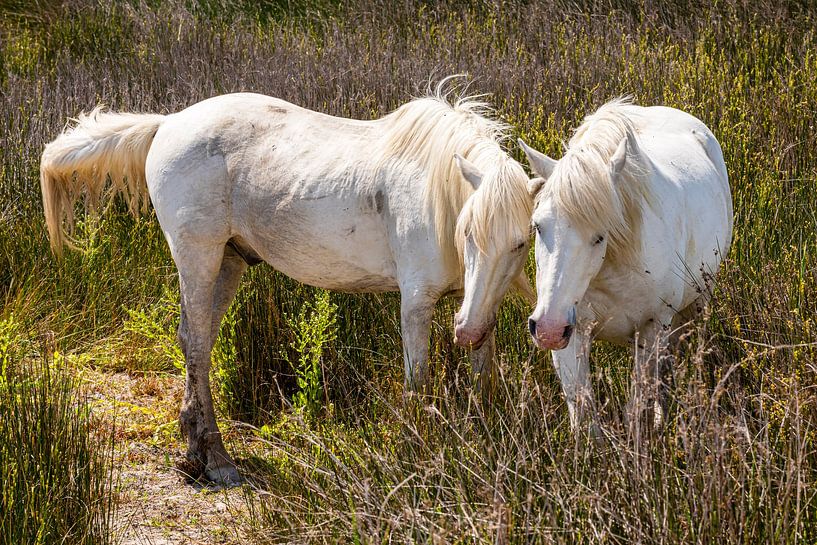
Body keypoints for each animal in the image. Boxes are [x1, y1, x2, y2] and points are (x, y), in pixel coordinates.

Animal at [40, 83, 534, 483]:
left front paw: (485, 444)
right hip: (198, 255)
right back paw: (217, 459)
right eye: (467, 232)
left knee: (196, 341)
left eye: (523, 242)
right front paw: (418, 458)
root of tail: (170, 123)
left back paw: (195, 447)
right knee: (196, 344)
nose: (465, 330)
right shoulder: (416, 303)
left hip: (229, 262)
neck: (437, 192)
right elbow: (419, 383)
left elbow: (483, 376)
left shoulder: (476, 305)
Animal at [519, 98, 732, 432]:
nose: (548, 329)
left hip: (696, 305)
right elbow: (582, 413)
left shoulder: (651, 328)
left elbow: (636, 408)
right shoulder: (572, 333)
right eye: (539, 226)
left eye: (599, 237)